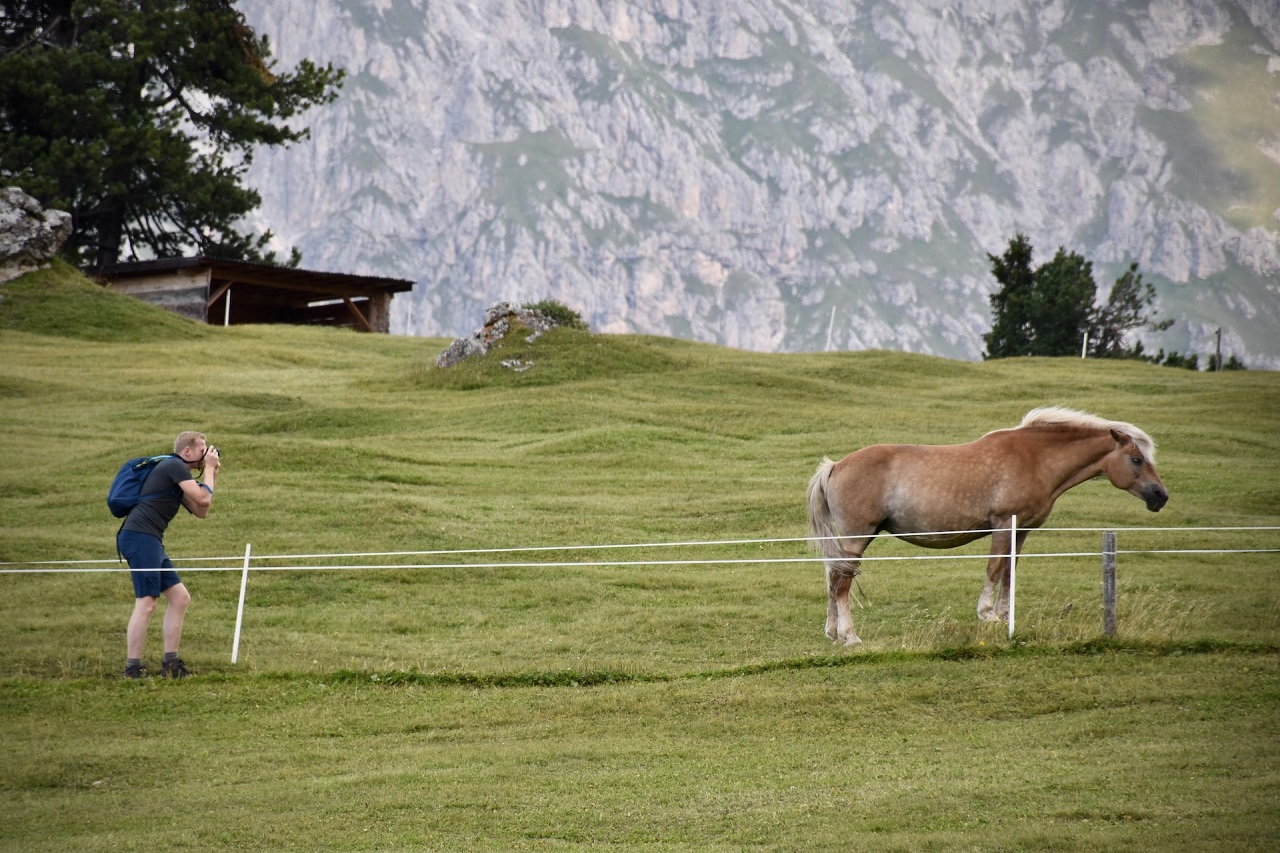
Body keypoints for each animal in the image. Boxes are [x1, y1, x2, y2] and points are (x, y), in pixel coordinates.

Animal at [808, 409, 1172, 640]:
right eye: (1136, 459)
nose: (1161, 496)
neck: (1035, 459)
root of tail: (836, 466)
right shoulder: (1002, 525)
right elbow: (994, 569)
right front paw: (987, 614)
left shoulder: (1020, 531)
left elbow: (1010, 572)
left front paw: (1005, 617)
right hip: (857, 537)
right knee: (841, 584)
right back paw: (850, 636)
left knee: (833, 579)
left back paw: (833, 633)